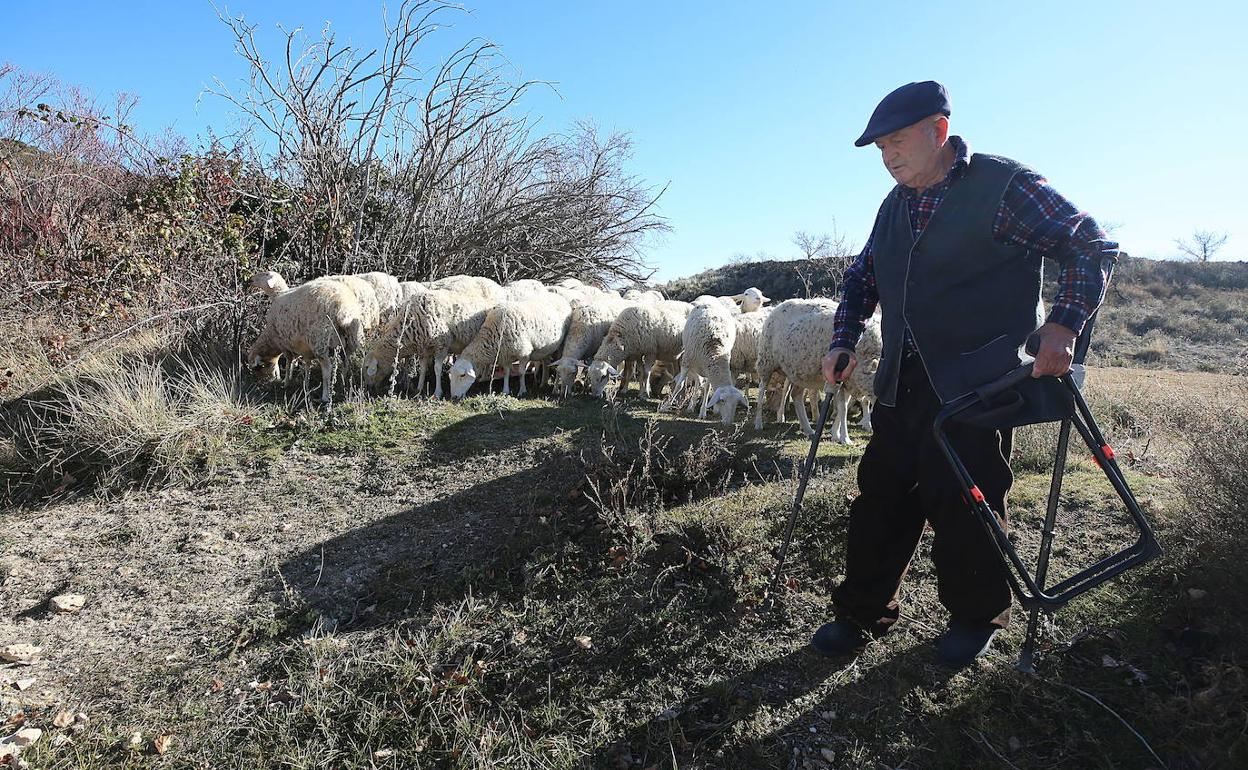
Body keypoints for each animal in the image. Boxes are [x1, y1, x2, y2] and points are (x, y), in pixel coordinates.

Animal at [364, 287, 494, 396]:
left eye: (366, 367)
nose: (368, 387)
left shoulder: (441, 344)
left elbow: (437, 368)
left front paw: (437, 392)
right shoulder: (423, 348)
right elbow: (423, 367)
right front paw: (419, 388)